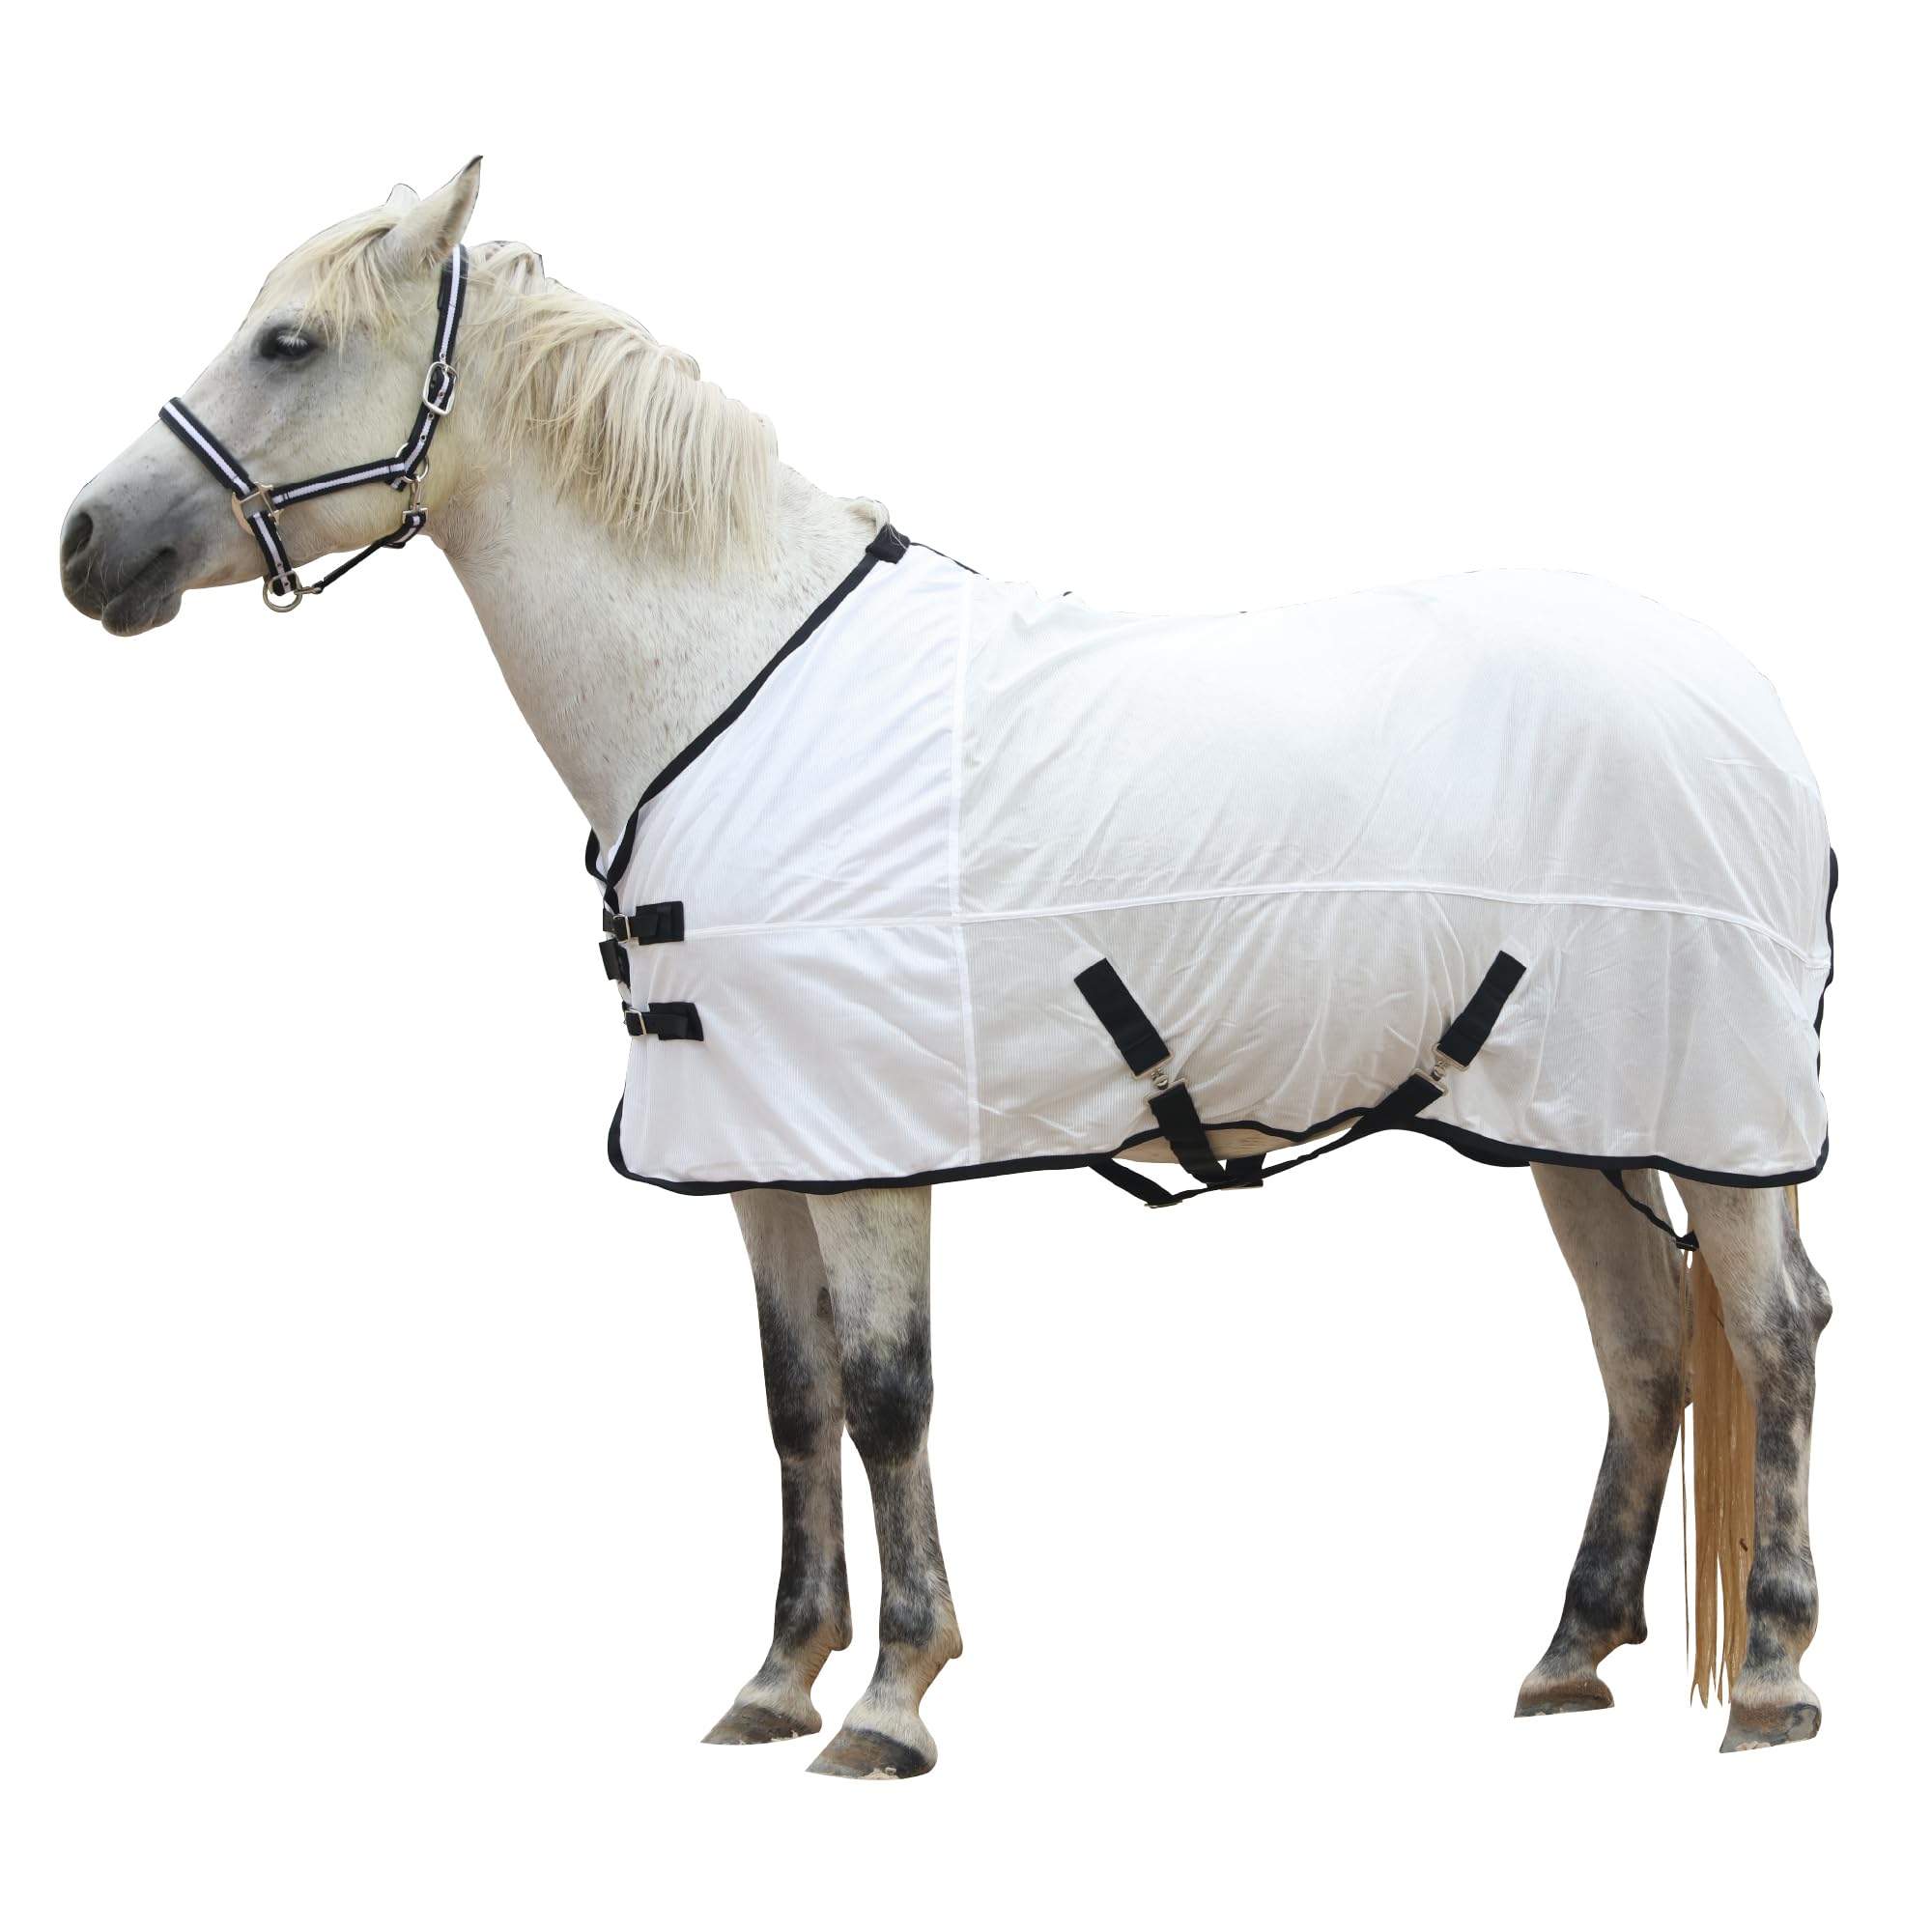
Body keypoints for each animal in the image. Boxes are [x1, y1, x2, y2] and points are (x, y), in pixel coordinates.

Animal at [58, 159, 1834, 1777]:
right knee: (1644, 1349)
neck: (732, 675)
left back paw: (1773, 1679)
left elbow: (888, 1393)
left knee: (1773, 1336)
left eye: (287, 342)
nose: (85, 543)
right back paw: (1571, 1655)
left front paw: (893, 1699)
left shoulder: (866, 1147)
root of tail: (1746, 702)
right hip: (1577, 1122)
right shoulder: (761, 1147)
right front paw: (777, 1681)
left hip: (1718, 1125)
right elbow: (795, 1402)